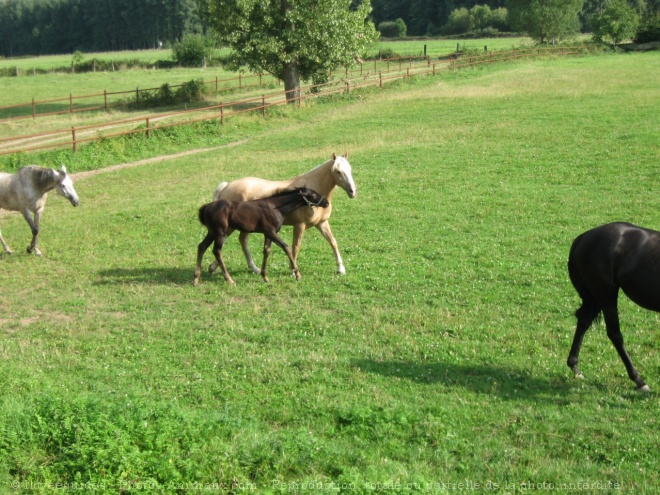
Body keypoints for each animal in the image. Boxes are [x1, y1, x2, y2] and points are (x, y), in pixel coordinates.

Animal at [196, 187, 330, 286]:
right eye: (313, 195)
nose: (326, 203)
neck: (275, 207)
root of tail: (206, 207)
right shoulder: (271, 232)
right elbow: (286, 247)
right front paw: (297, 274)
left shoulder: (267, 234)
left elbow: (266, 251)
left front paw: (265, 277)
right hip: (220, 232)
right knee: (217, 251)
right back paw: (229, 279)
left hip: (212, 232)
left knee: (201, 246)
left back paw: (196, 278)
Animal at [210, 153, 356, 278]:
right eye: (338, 171)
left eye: (350, 169)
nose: (352, 191)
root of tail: (225, 186)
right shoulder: (299, 225)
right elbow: (295, 247)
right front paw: (293, 271)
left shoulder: (322, 223)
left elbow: (333, 242)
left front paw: (341, 268)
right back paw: (214, 267)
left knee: (242, 240)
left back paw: (252, 268)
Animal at [568, 223, 660, 394]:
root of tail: (583, 237)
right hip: (606, 295)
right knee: (615, 334)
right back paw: (638, 380)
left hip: (595, 297)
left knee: (584, 321)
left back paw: (575, 366)